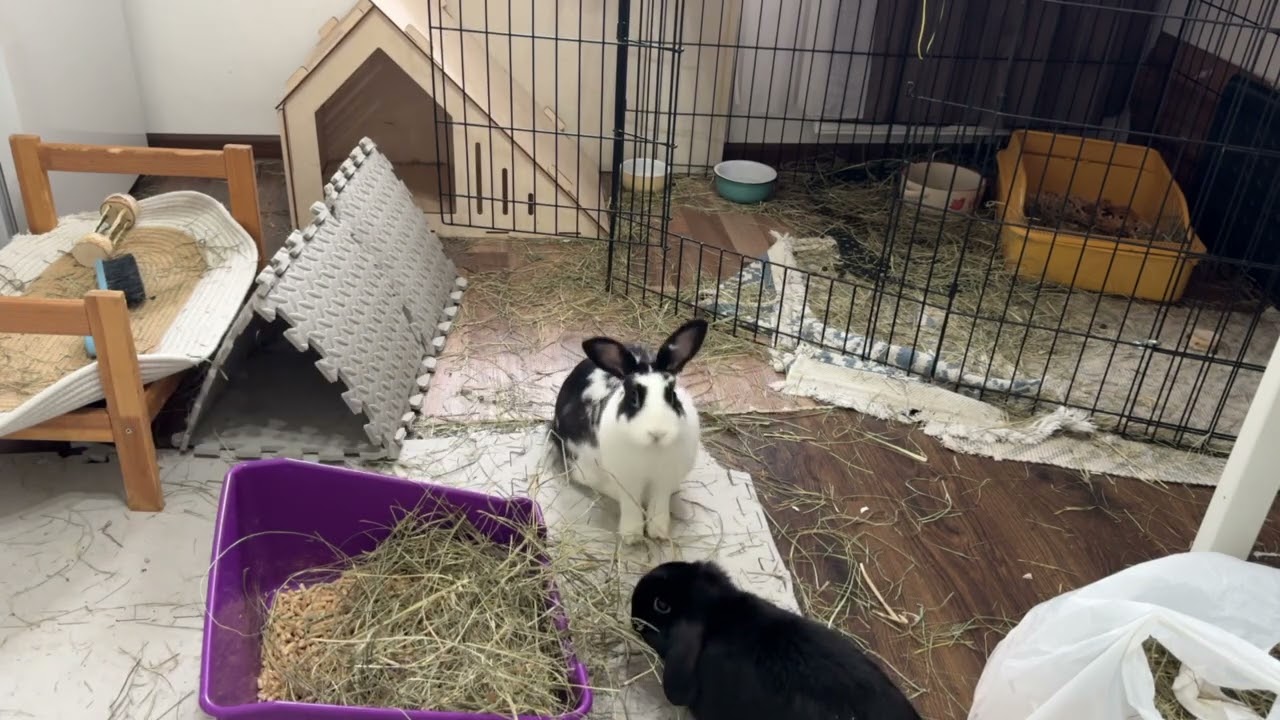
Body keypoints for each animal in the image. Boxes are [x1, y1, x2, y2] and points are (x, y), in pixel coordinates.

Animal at [548, 318, 708, 545]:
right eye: (633, 397)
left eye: (672, 394)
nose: (657, 432)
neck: (652, 451)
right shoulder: (626, 480)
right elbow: (631, 504)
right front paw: (632, 536)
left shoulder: (664, 480)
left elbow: (659, 505)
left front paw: (659, 532)